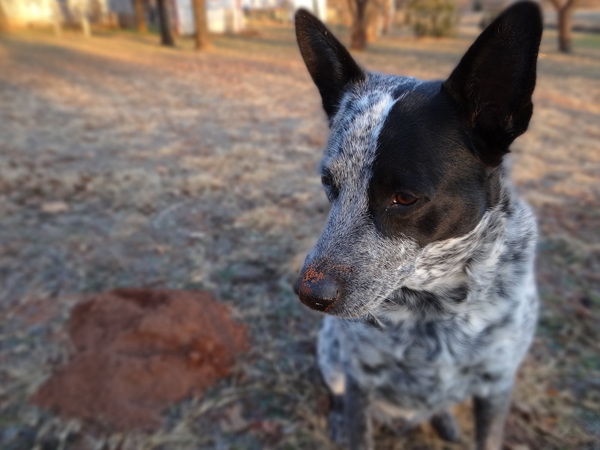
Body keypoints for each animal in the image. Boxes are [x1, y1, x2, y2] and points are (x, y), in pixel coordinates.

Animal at [292, 3, 540, 450]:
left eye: (404, 197)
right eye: (329, 183)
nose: (309, 295)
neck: (435, 312)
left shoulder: (496, 385)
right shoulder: (359, 378)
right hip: (333, 359)